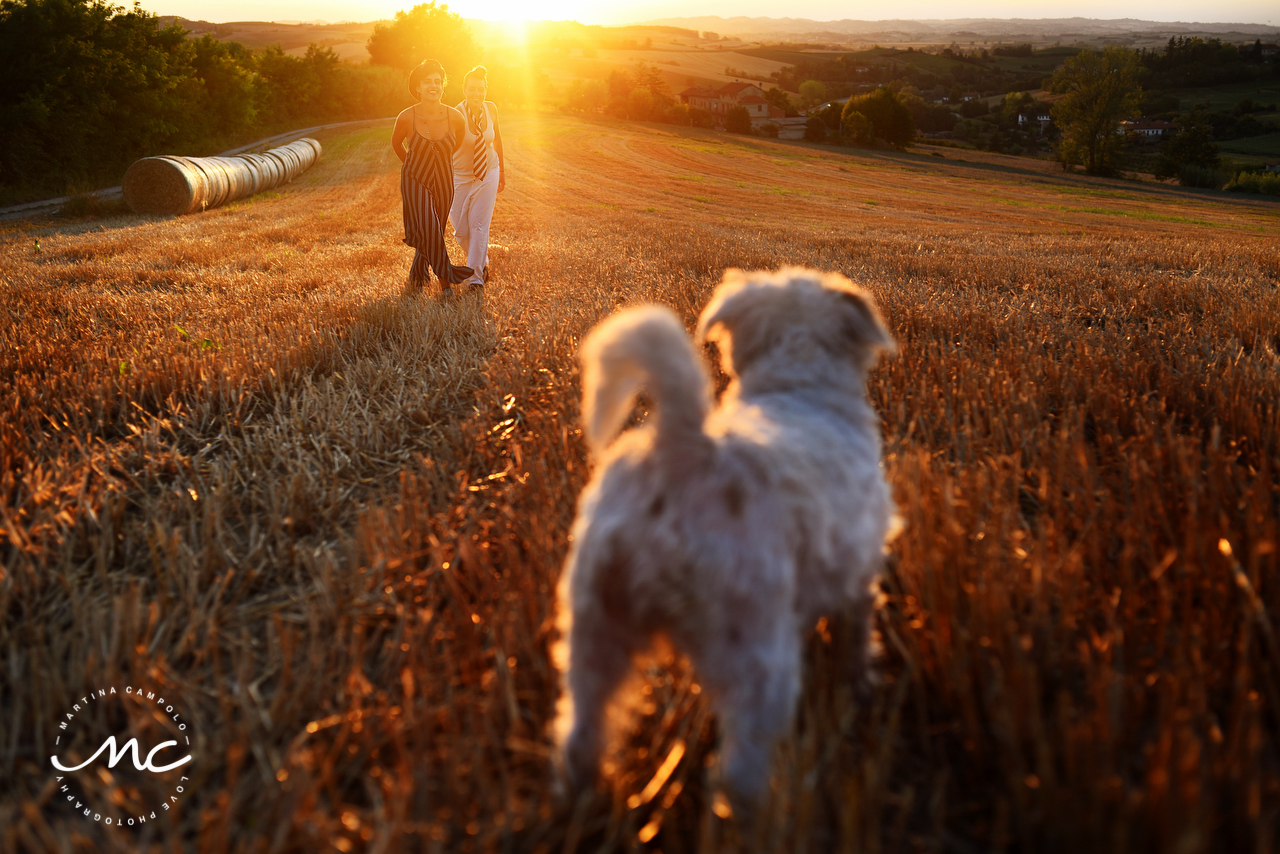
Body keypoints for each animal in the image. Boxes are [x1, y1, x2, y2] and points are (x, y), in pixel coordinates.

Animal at [552, 267, 901, 814]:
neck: (795, 388)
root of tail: (684, 452)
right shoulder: (858, 576)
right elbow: (856, 640)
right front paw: (862, 685)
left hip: (595, 625)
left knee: (581, 732)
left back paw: (578, 801)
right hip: (757, 654)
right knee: (738, 769)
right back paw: (759, 813)